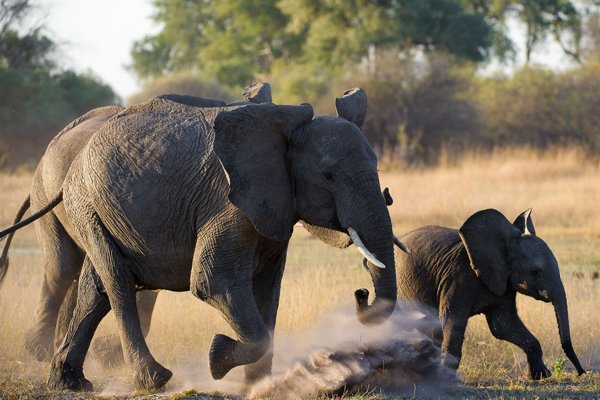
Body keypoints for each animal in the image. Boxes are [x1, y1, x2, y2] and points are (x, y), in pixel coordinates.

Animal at [396, 208, 584, 380]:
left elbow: (503, 325)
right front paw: (446, 378)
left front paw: (540, 375)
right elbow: (453, 321)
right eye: (536, 272)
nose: (581, 372)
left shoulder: (504, 283)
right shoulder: (458, 278)